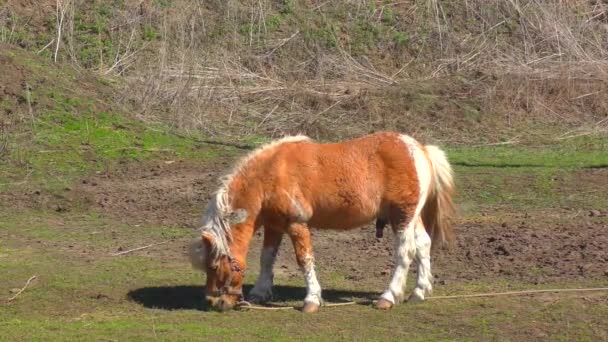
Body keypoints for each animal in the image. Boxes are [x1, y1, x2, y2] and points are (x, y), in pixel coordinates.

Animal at [188, 132, 454, 312]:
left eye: (215, 266)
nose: (214, 302)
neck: (270, 175)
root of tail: (419, 149)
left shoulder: (296, 224)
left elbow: (304, 260)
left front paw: (312, 300)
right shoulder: (275, 225)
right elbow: (267, 258)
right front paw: (260, 293)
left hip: (401, 218)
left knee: (405, 253)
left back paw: (388, 297)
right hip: (411, 217)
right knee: (423, 245)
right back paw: (419, 292)